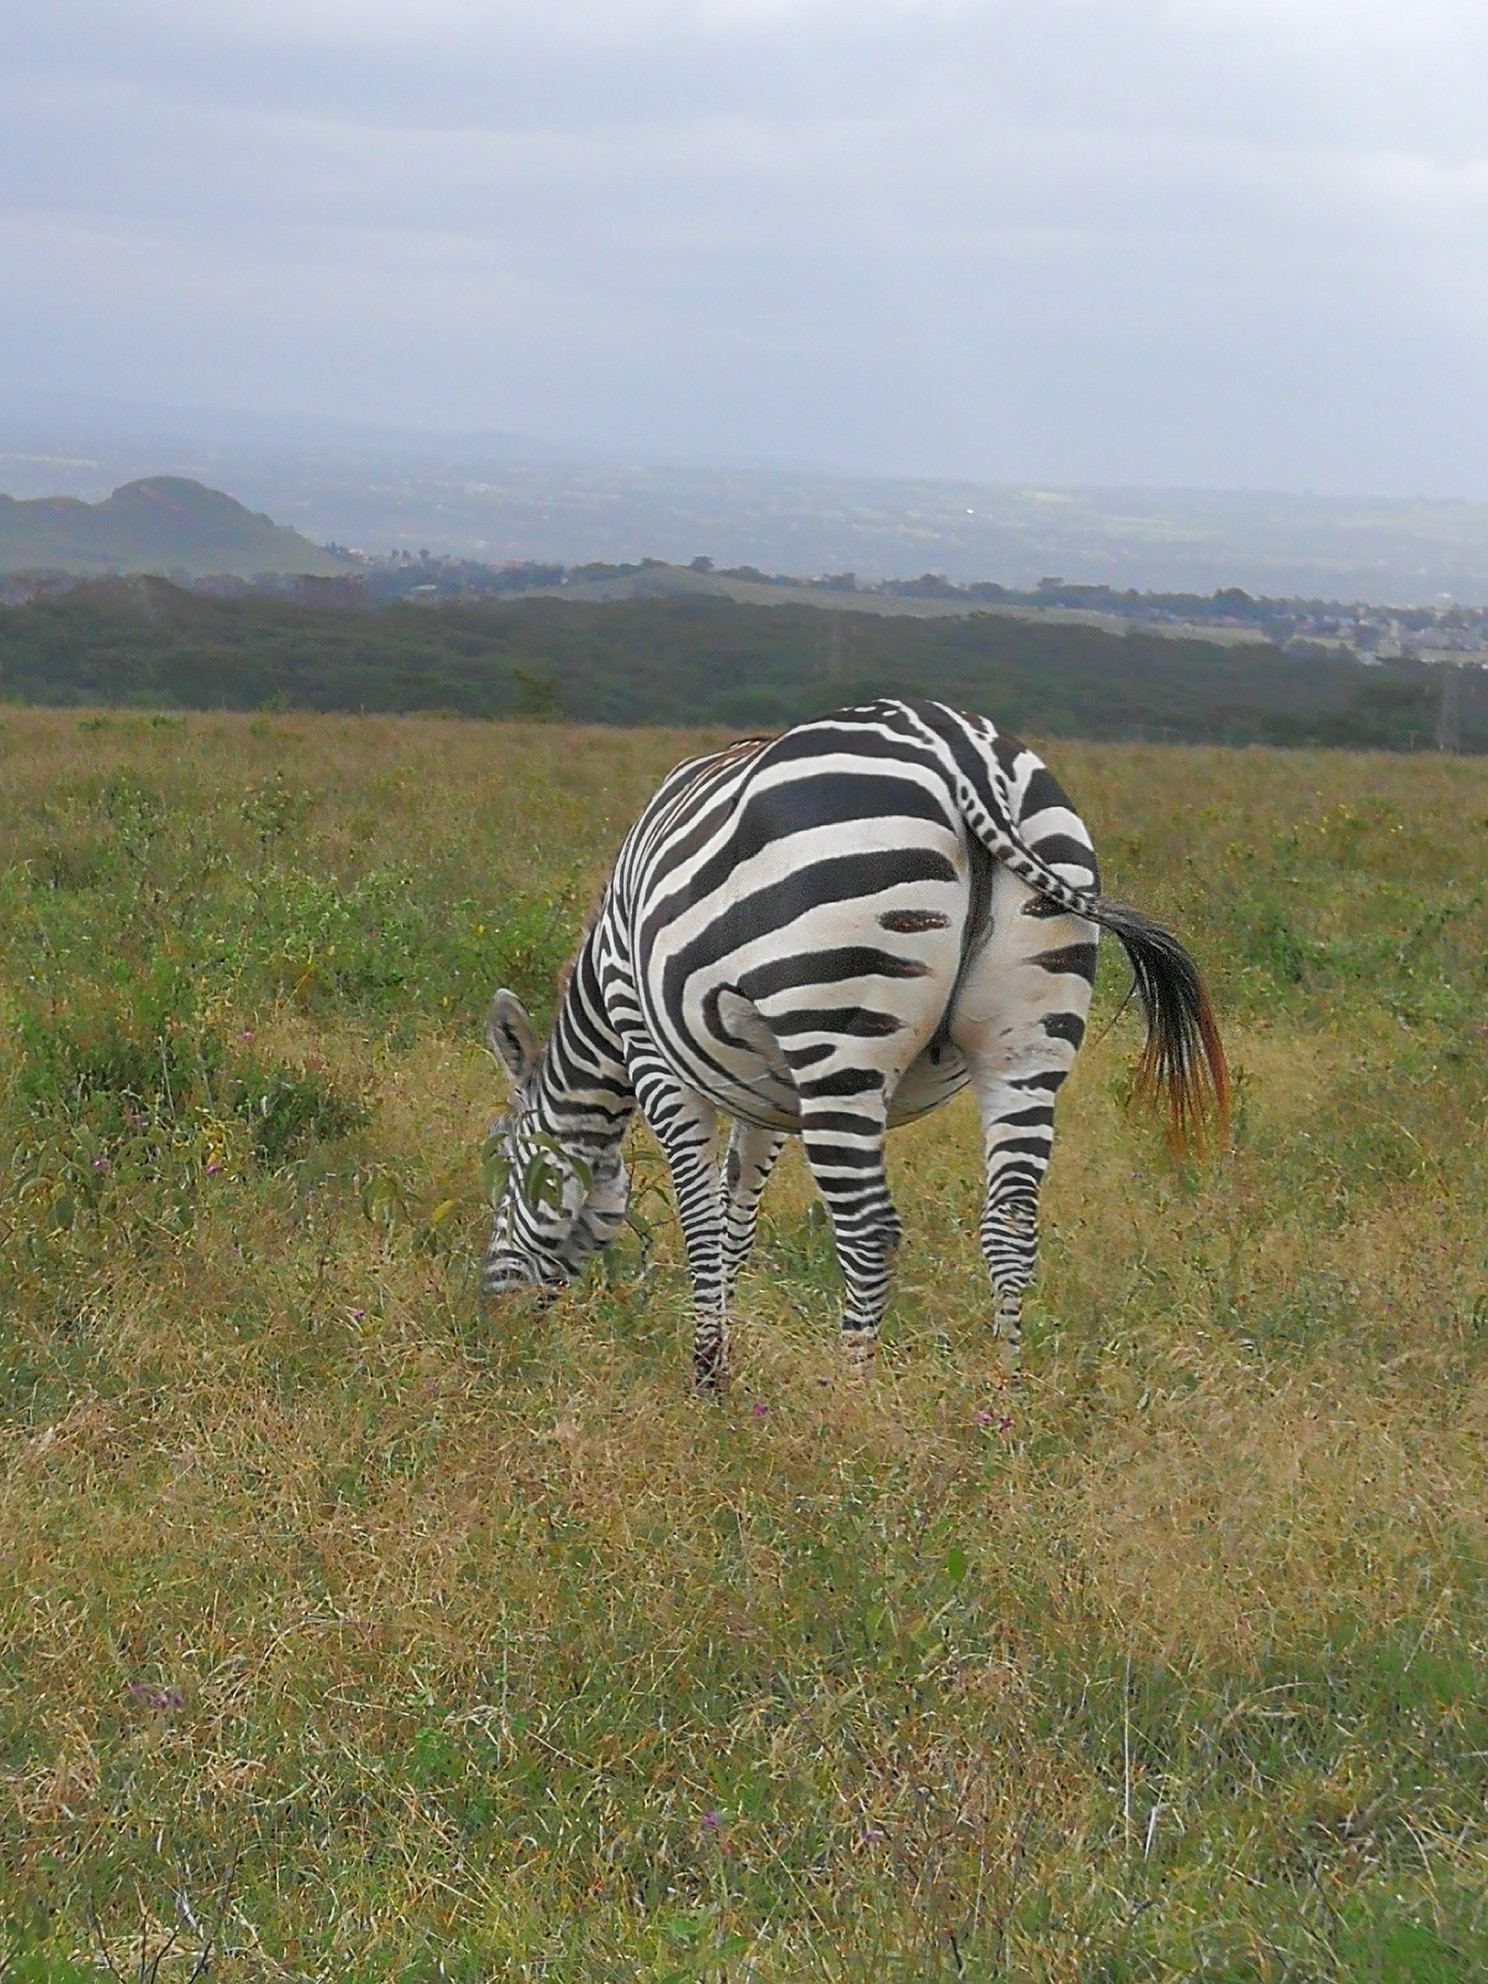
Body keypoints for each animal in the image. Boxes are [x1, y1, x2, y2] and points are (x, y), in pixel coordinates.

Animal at [484, 694, 1230, 1380]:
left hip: (838, 1037)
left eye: (507, 1161)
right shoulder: (767, 1098)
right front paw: (725, 1360)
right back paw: (1004, 1398)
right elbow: (735, 1219)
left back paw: (850, 1395)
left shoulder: (652, 1051)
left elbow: (700, 1219)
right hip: (1027, 1041)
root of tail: (961, 749)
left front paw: (707, 1372)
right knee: (1010, 1224)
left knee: (870, 1233)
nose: (490, 1309)